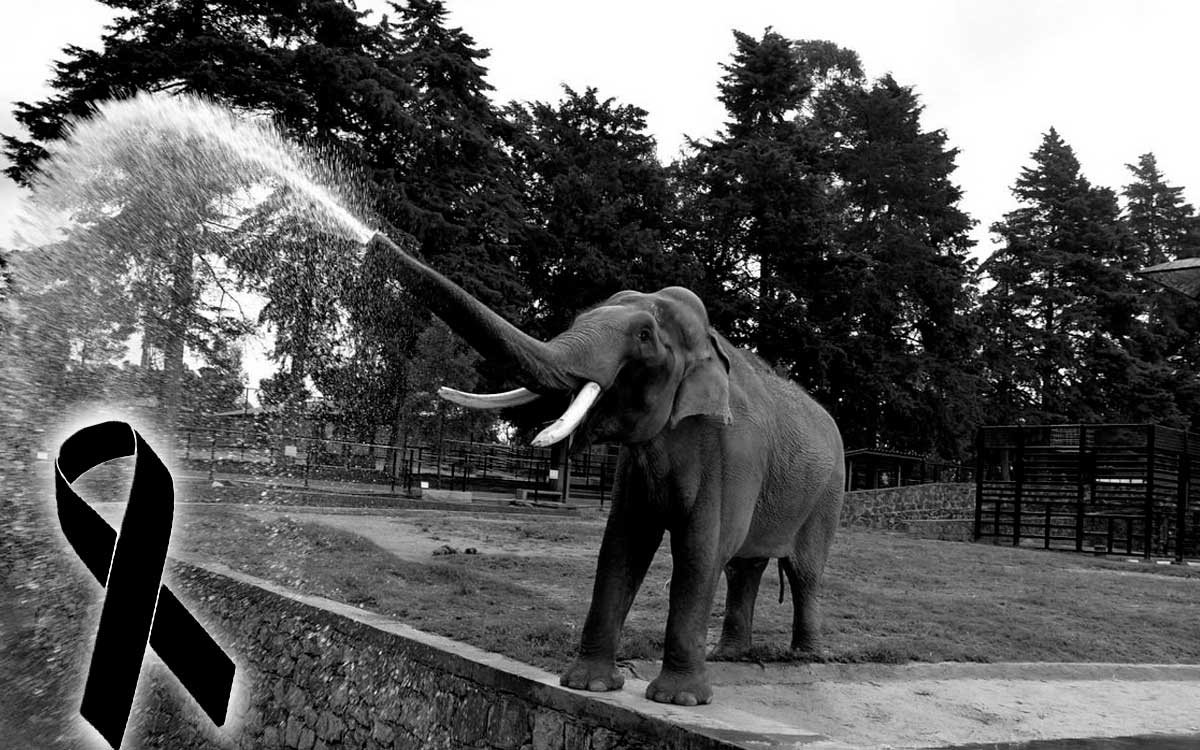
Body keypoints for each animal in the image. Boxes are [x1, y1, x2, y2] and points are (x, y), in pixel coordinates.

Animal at [368, 233, 845, 706]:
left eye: (645, 335)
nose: (375, 238)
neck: (711, 342)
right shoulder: (636, 466)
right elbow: (622, 544)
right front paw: (589, 685)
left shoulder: (732, 453)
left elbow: (700, 549)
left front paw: (678, 699)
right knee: (744, 567)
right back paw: (728, 655)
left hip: (829, 494)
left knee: (803, 571)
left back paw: (806, 657)